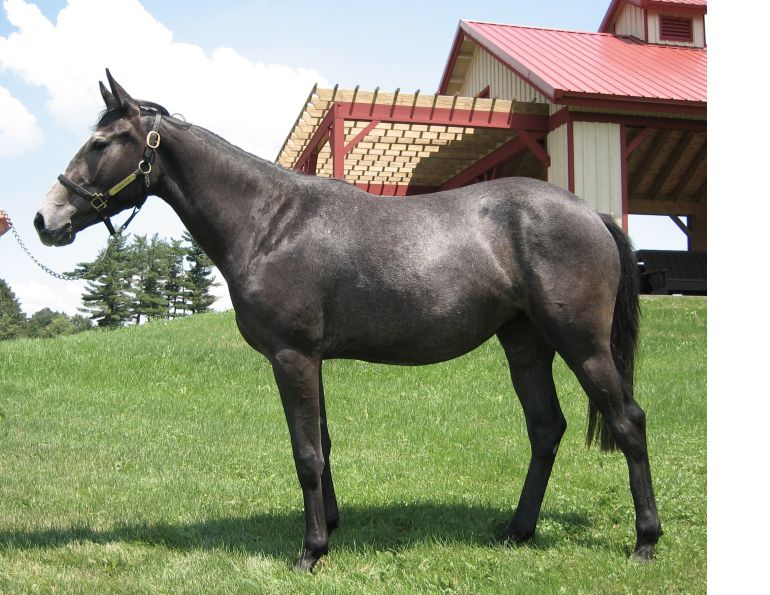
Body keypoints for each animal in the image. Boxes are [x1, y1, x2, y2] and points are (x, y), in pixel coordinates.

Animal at [34, 71, 662, 572]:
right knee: (545, 428)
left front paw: (311, 551)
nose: (45, 218)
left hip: (582, 346)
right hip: (525, 344)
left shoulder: (292, 357)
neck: (270, 223)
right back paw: (517, 532)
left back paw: (645, 541)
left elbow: (306, 453)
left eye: (101, 143)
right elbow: (325, 444)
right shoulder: (310, 360)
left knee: (628, 422)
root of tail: (591, 213)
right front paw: (330, 526)